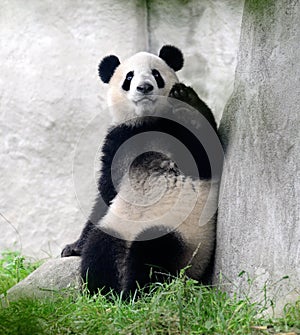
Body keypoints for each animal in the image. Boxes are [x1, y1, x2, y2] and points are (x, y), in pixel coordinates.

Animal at [62, 44, 223, 296]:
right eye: (129, 77)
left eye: (156, 74)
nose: (144, 87)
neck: (148, 121)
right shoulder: (119, 140)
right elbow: (106, 193)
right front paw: (72, 247)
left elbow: (207, 158)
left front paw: (186, 98)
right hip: (117, 226)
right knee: (100, 247)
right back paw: (104, 293)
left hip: (186, 240)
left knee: (154, 252)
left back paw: (138, 292)